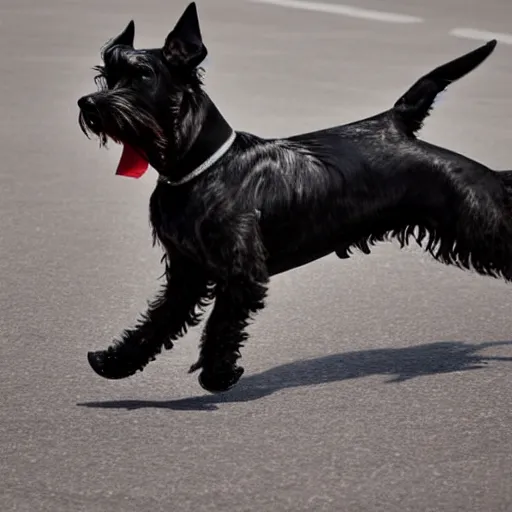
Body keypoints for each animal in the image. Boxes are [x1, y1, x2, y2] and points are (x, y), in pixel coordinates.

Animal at [78, 3, 510, 392]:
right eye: (106, 75)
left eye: (142, 75)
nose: (88, 104)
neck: (201, 166)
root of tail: (394, 124)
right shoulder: (186, 271)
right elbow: (157, 321)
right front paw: (115, 361)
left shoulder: (240, 273)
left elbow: (220, 325)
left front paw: (217, 376)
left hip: (477, 217)